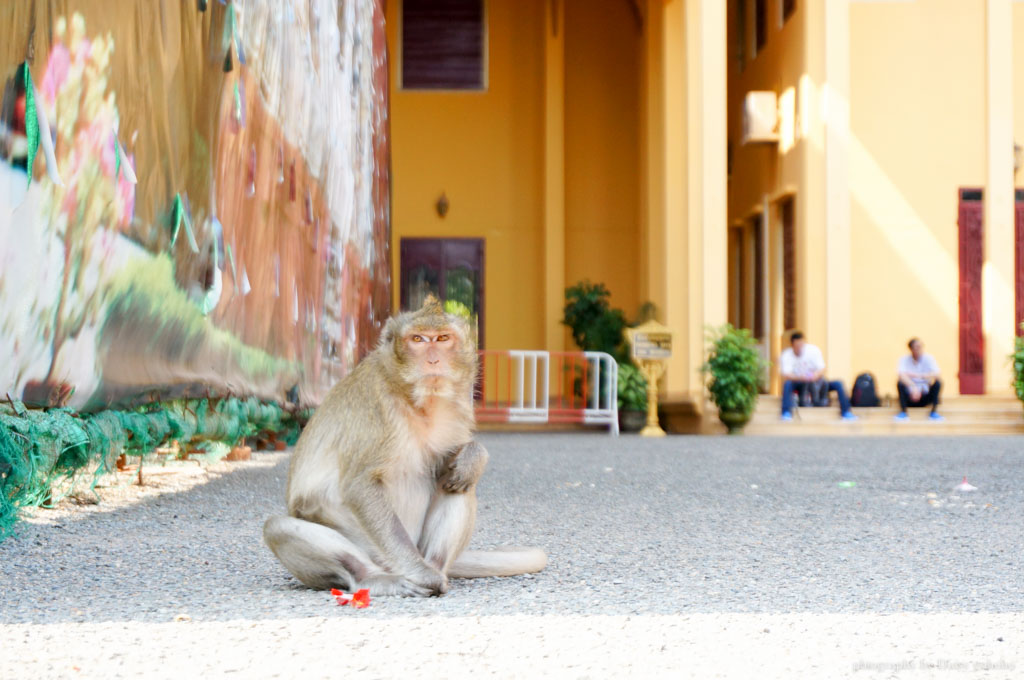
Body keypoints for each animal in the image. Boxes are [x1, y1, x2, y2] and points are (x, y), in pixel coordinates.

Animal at [268, 296, 548, 593]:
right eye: (418, 339)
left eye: (442, 338)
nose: (433, 359)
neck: (416, 401)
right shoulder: (376, 408)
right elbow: (360, 484)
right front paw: (420, 573)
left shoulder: (455, 409)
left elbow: (452, 460)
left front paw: (474, 456)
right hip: (372, 548)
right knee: (277, 527)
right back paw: (380, 578)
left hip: (419, 543)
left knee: (461, 484)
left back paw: (436, 564)